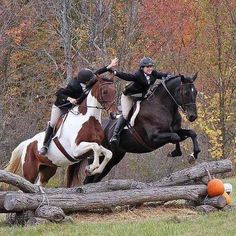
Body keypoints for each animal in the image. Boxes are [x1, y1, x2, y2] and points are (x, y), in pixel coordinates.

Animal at [66, 73, 201, 185]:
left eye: (196, 92)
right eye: (186, 93)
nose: (192, 117)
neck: (162, 106)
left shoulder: (175, 130)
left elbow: (191, 133)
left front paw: (193, 155)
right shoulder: (154, 137)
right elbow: (175, 137)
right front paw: (175, 152)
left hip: (114, 158)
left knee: (94, 179)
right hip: (98, 155)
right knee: (88, 179)